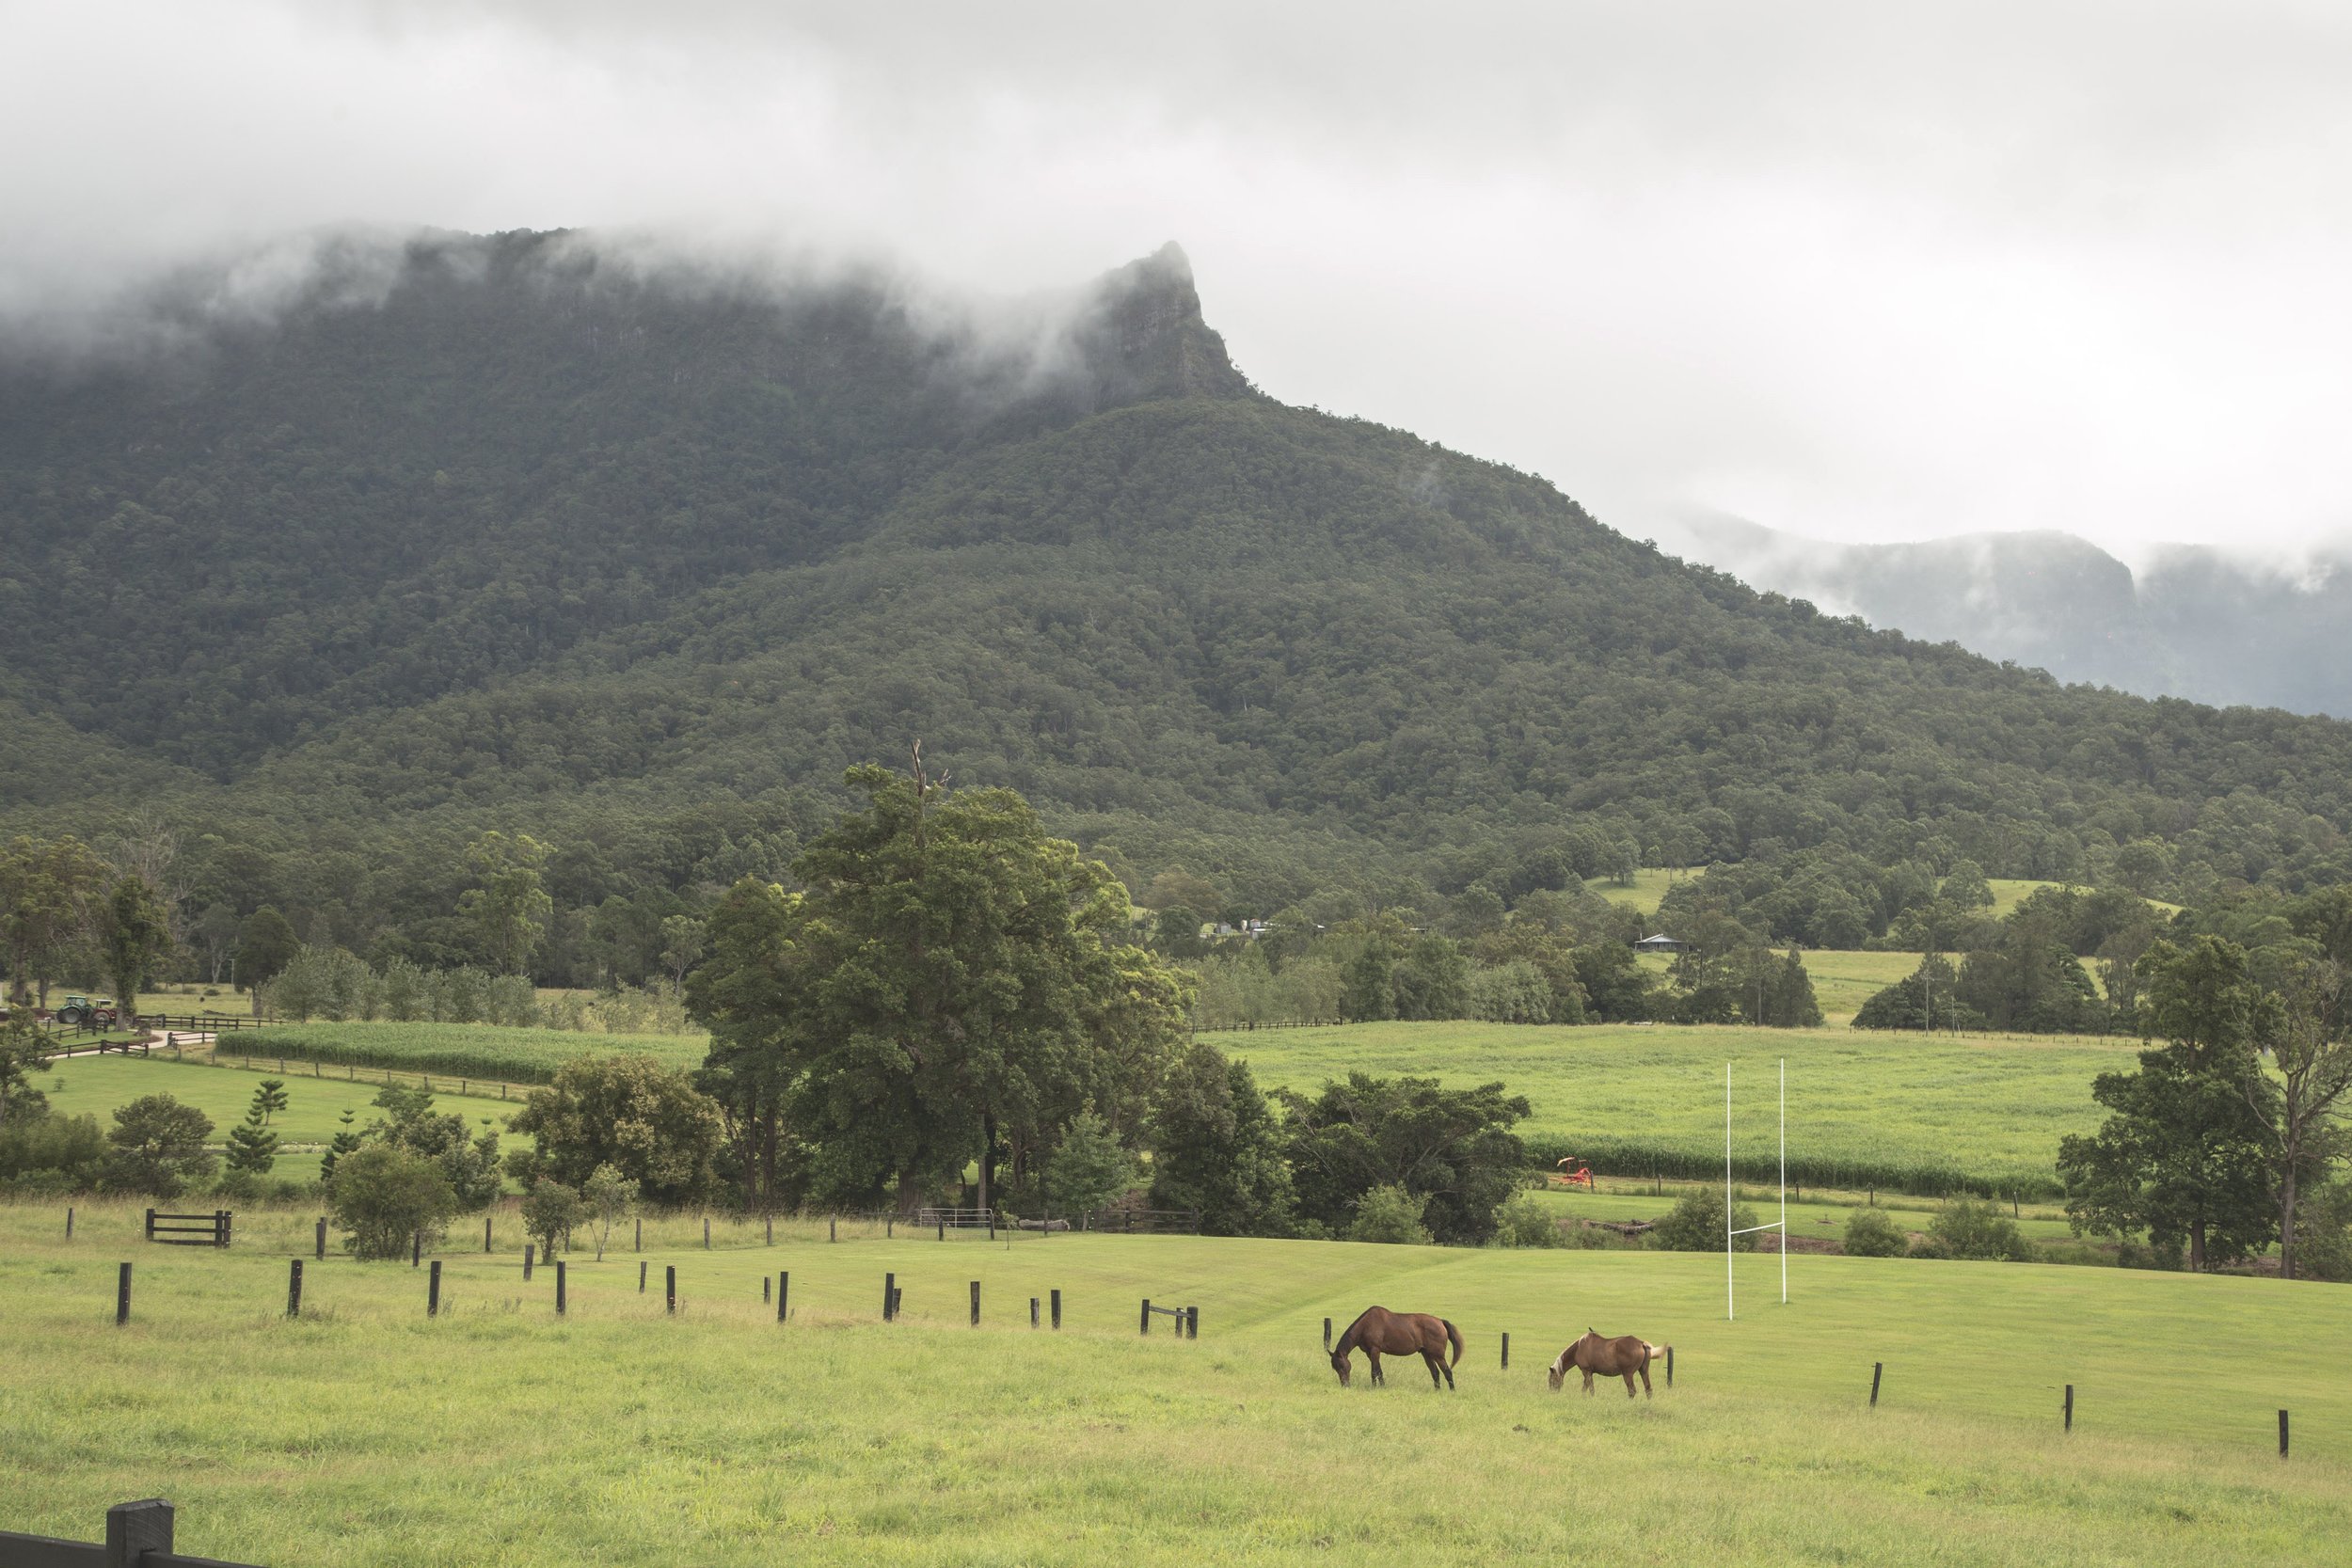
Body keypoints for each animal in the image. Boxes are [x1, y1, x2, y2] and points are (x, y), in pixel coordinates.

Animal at [1336, 1307, 1458, 1391]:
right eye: (1335, 1368)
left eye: (1341, 1366)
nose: (1344, 1385)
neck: (1366, 1325)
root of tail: (1440, 1321)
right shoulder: (1370, 1353)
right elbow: (1379, 1371)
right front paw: (1382, 1387)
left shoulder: (1375, 1350)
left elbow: (1374, 1371)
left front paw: (1374, 1388)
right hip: (1427, 1354)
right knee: (1435, 1372)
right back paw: (1437, 1391)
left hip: (1438, 1355)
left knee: (1447, 1371)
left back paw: (1452, 1392)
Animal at [1543, 1325, 1675, 1401]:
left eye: (1551, 1380)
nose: (1552, 1393)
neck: (1578, 1348)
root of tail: (1642, 1343)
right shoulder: (1590, 1373)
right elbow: (1590, 1388)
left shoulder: (1586, 1371)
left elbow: (1586, 1388)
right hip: (1643, 1371)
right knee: (1648, 1390)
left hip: (1628, 1374)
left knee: (1632, 1391)